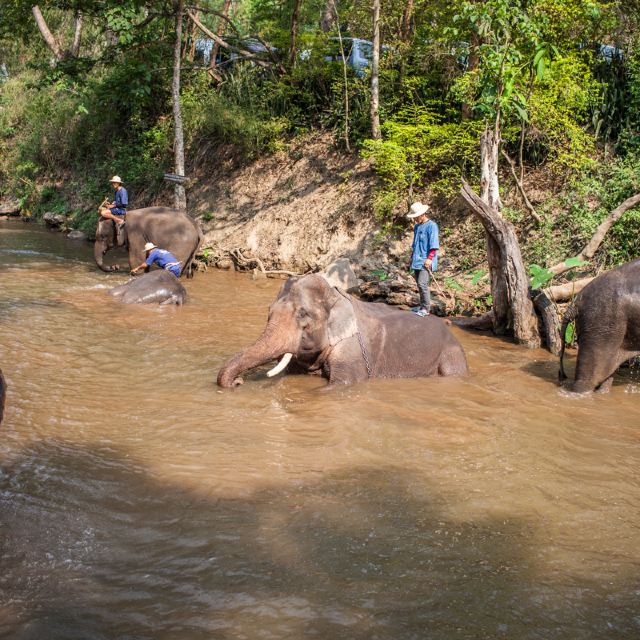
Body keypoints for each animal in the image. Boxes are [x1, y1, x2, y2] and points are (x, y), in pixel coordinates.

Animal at [218, 274, 468, 388]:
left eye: (302, 314)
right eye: (268, 312)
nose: (238, 382)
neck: (336, 296)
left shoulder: (352, 350)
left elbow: (342, 384)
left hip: (451, 355)